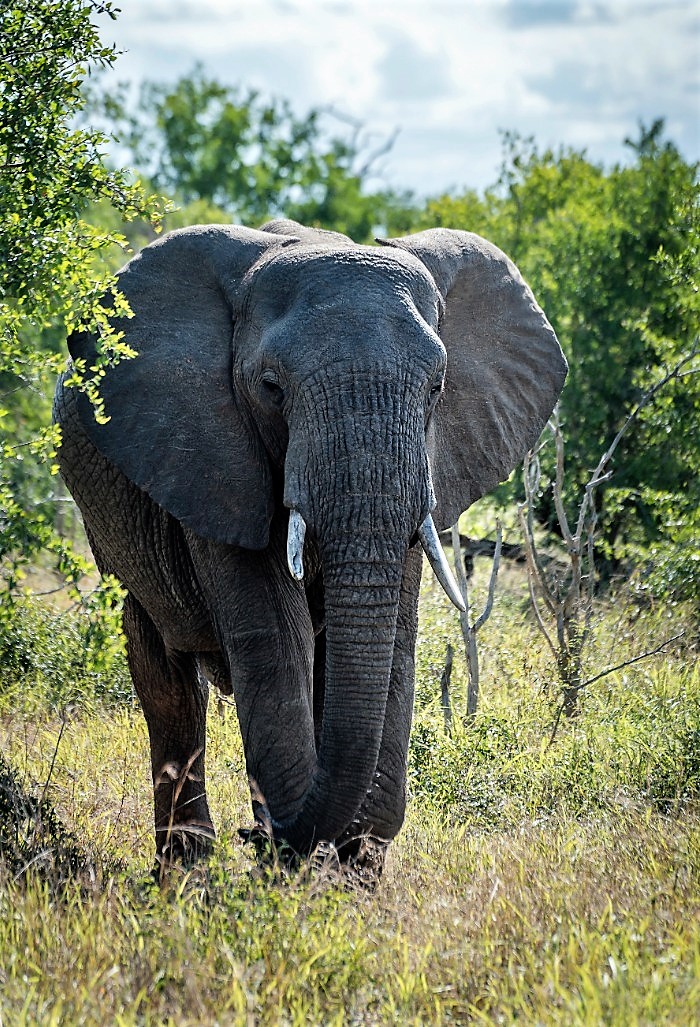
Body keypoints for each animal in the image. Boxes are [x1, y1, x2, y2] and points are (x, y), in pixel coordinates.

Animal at [53, 218, 567, 875]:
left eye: (437, 387)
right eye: (271, 388)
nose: (255, 836)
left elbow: (394, 641)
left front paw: (350, 874)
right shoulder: (211, 458)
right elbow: (276, 633)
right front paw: (296, 868)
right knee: (169, 682)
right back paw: (189, 875)